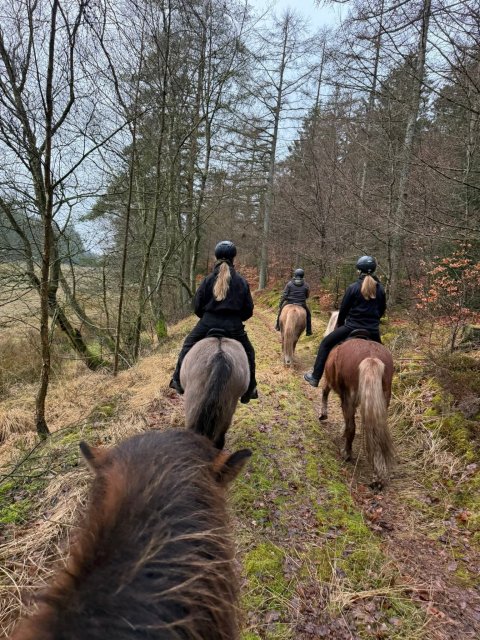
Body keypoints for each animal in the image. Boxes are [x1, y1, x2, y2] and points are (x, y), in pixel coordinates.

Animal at [319, 311, 394, 489]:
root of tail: (371, 358)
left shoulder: (329, 382)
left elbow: (325, 392)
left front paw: (323, 415)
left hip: (349, 397)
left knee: (352, 427)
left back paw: (347, 453)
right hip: (382, 400)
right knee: (375, 432)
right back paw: (377, 477)